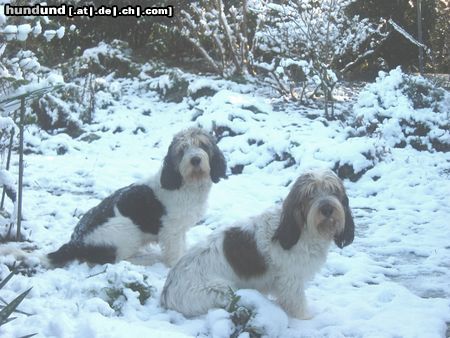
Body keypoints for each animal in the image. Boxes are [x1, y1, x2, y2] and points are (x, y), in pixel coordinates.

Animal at [46, 127, 225, 266]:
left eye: (203, 145)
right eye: (181, 150)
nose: (195, 160)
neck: (186, 184)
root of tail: (75, 242)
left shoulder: (180, 229)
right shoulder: (171, 230)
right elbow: (175, 251)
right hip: (126, 231)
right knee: (118, 260)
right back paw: (147, 259)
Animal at [162, 170, 356, 318]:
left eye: (333, 191)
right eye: (310, 194)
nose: (327, 209)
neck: (303, 228)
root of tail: (167, 292)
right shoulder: (291, 279)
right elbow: (296, 302)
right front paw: (305, 318)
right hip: (223, 290)